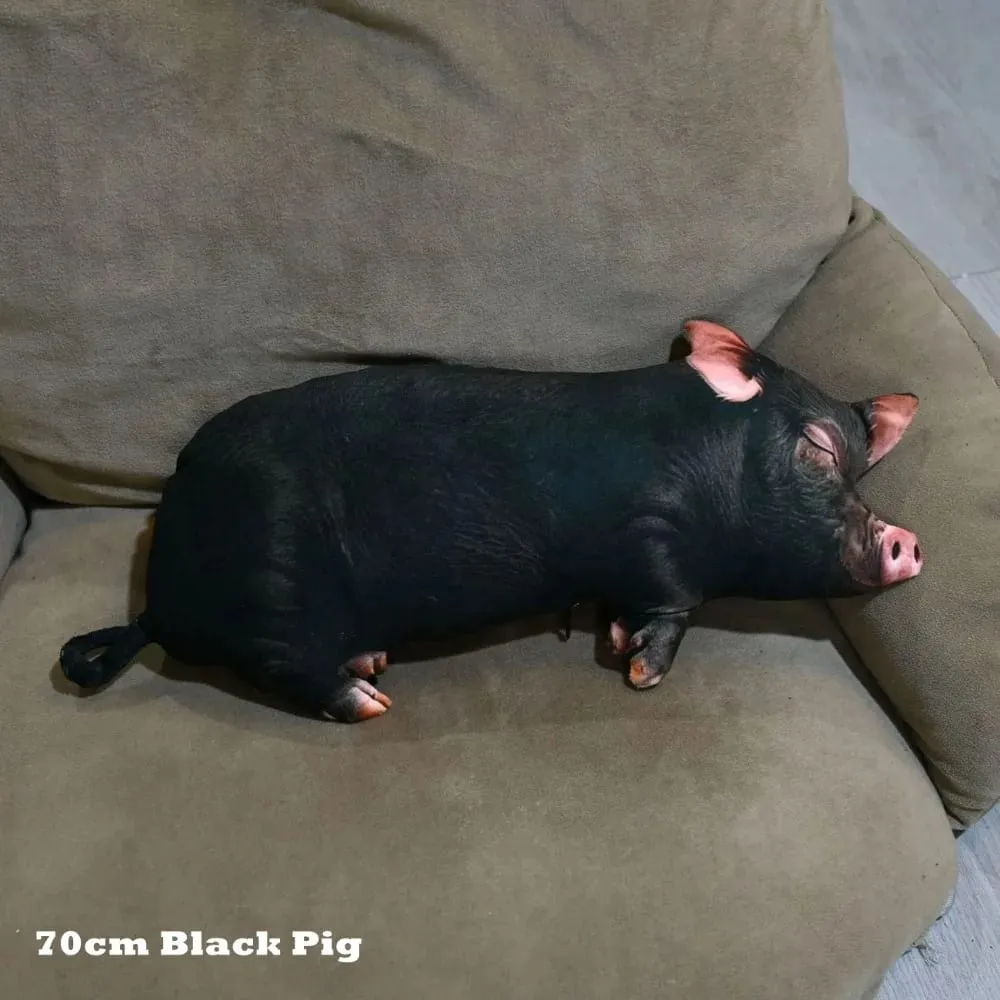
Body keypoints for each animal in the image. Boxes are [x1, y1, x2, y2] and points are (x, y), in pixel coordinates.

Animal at [59, 321, 923, 722]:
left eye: (860, 468)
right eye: (818, 450)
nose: (908, 540)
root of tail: (156, 604)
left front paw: (616, 641)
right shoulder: (646, 531)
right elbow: (673, 600)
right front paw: (640, 674)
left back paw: (372, 663)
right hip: (269, 589)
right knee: (282, 665)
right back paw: (371, 700)